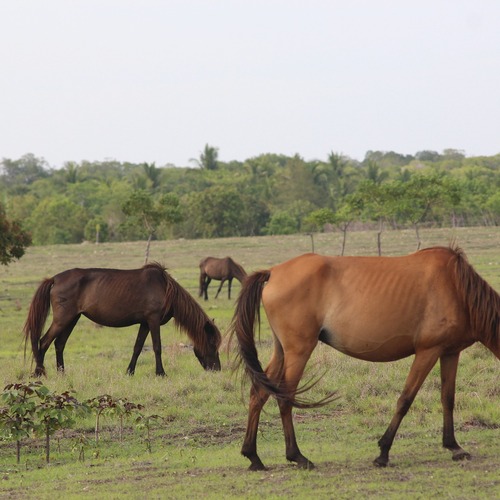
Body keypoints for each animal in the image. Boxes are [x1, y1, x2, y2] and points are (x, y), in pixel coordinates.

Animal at [23, 264, 223, 376]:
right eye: (212, 344)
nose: (217, 369)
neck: (165, 289)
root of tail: (54, 279)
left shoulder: (145, 323)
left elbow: (138, 347)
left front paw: (130, 371)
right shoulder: (153, 320)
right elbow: (157, 347)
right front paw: (161, 373)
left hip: (72, 319)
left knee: (59, 343)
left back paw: (62, 373)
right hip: (62, 319)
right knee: (44, 341)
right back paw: (39, 372)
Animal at [231, 248, 500, 470]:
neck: (457, 288)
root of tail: (273, 272)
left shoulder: (450, 353)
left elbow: (448, 399)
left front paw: (454, 446)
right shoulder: (428, 352)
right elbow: (405, 400)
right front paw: (383, 452)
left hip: (281, 351)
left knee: (259, 393)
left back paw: (254, 457)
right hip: (298, 351)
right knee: (284, 398)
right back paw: (297, 456)